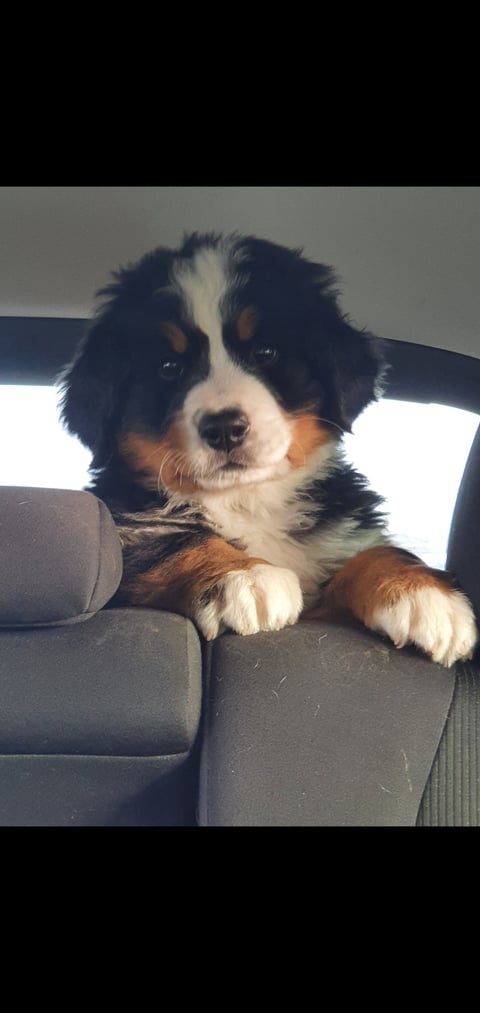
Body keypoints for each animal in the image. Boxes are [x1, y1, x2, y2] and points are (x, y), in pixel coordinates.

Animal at [61, 232, 477, 668]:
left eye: (265, 352)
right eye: (168, 367)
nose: (224, 428)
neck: (249, 499)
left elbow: (374, 553)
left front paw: (425, 594)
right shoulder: (126, 535)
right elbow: (177, 542)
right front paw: (243, 575)